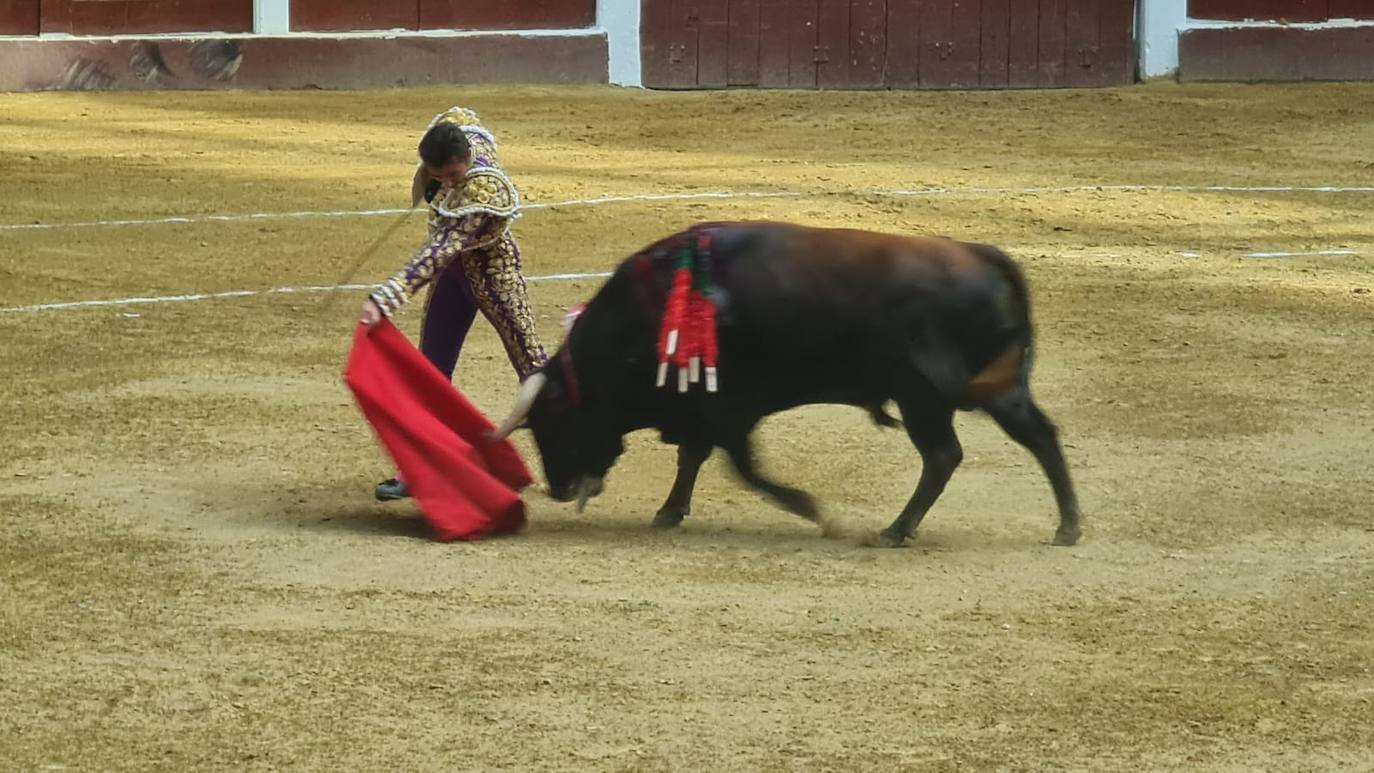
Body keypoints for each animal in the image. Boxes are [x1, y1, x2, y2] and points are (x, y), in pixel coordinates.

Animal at [494, 221, 1082, 546]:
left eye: (553, 421)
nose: (557, 488)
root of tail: (984, 255)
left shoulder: (729, 409)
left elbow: (741, 468)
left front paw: (811, 509)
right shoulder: (703, 410)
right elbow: (694, 458)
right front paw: (669, 512)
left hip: (924, 397)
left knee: (943, 456)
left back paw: (895, 530)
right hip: (997, 393)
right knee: (1041, 437)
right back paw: (1068, 527)